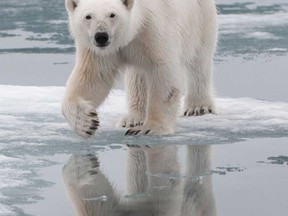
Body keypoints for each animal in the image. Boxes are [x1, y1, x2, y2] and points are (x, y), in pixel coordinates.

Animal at [61, 0, 218, 138]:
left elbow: (164, 72)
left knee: (199, 60)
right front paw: (86, 123)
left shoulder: (153, 29)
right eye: (88, 16)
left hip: (200, 18)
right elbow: (93, 77)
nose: (101, 36)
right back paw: (133, 119)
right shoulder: (98, 51)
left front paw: (150, 128)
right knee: (137, 77)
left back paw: (198, 107)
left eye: (112, 14)